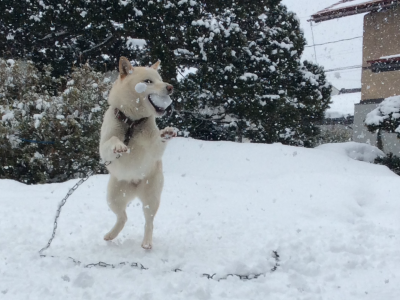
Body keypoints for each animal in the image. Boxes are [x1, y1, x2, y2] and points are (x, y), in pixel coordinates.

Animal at [99, 56, 176, 248]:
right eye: (148, 81)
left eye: (160, 79)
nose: (170, 87)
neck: (132, 122)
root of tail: (133, 185)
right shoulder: (103, 148)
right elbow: (111, 141)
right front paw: (119, 146)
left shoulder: (154, 149)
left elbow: (157, 143)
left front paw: (166, 133)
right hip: (113, 197)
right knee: (122, 217)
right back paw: (110, 235)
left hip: (151, 198)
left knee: (149, 222)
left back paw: (147, 242)